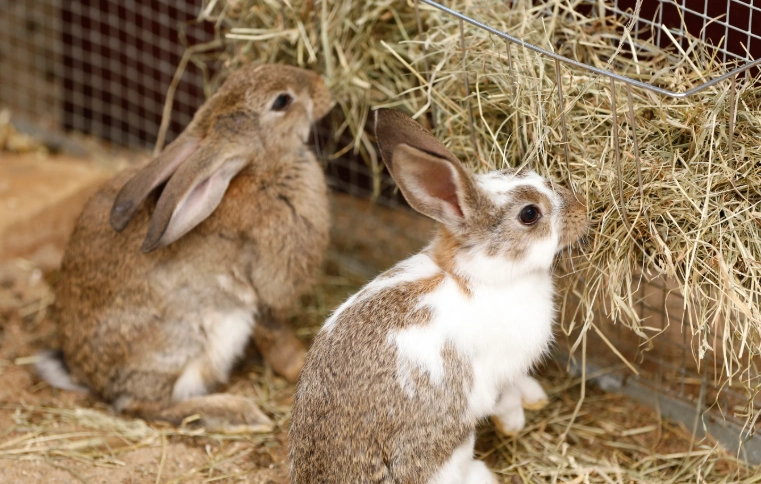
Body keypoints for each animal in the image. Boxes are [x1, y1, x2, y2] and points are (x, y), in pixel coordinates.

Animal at [35, 63, 332, 433]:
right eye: (282, 101)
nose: (323, 88)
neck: (261, 172)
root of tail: (86, 377)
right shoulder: (268, 289)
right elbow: (276, 336)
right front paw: (297, 367)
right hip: (180, 342)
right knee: (142, 405)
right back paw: (237, 411)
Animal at [289, 108, 588, 482]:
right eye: (530, 214)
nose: (584, 210)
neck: (481, 277)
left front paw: (534, 397)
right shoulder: (496, 373)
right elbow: (504, 397)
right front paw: (514, 423)